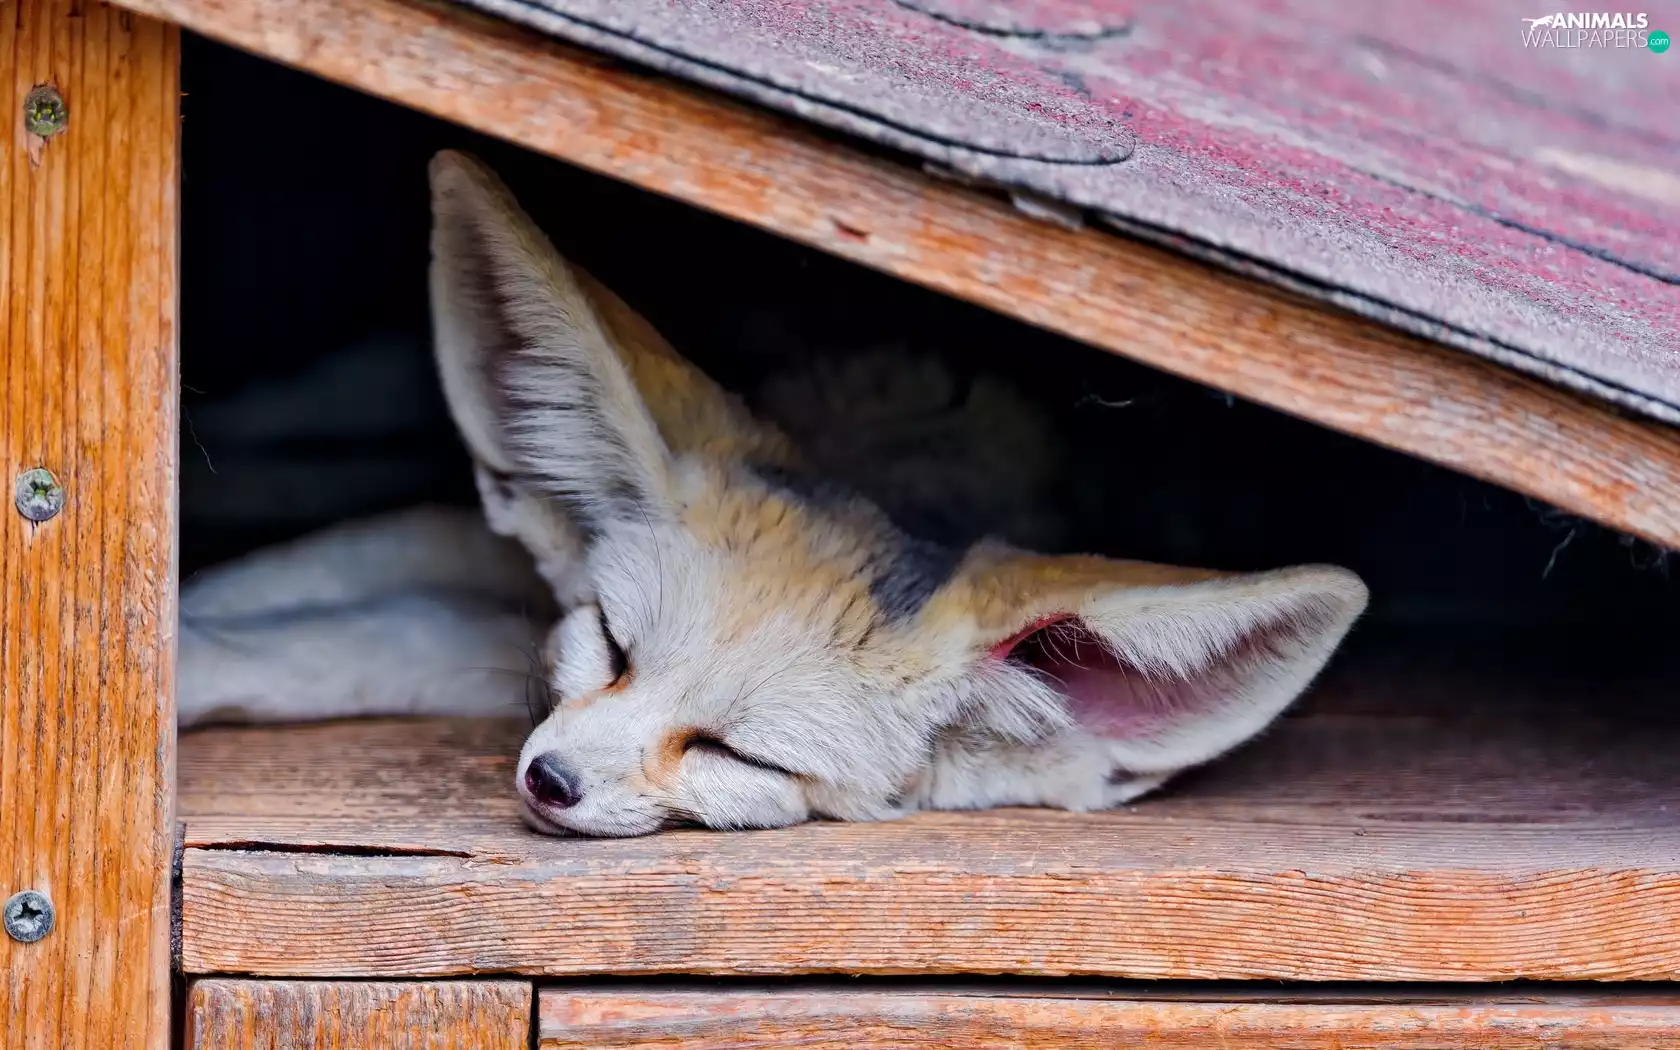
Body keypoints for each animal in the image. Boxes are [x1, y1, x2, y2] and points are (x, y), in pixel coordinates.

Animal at [177, 151, 1369, 838]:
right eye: (613, 646)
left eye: (738, 755)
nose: (551, 780)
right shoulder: (499, 560)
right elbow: (307, 603)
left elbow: (364, 637)